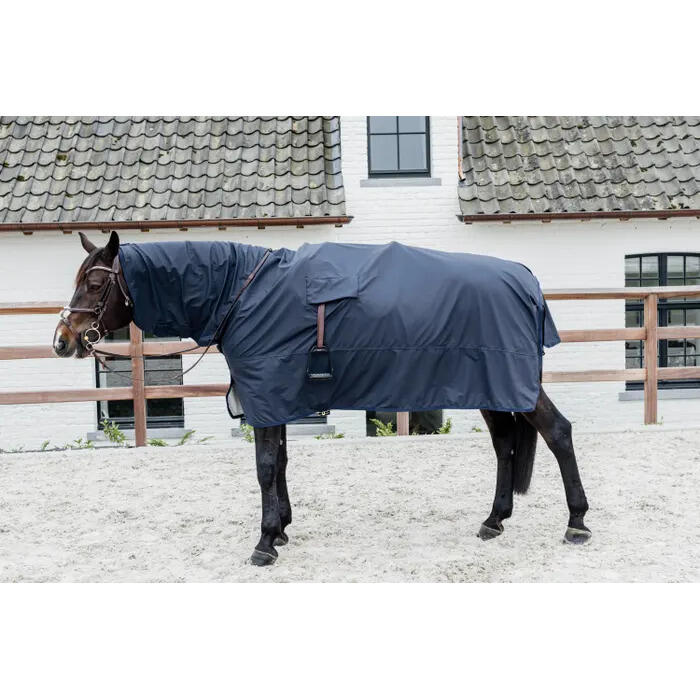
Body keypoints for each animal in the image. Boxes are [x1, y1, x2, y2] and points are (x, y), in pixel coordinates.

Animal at [53, 231, 591, 566]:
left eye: (95, 283)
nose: (62, 340)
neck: (241, 293)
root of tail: (526, 279)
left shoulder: (266, 394)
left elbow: (265, 467)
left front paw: (265, 541)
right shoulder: (275, 397)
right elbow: (281, 463)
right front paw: (282, 528)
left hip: (510, 385)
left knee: (557, 433)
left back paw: (577, 523)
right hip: (493, 389)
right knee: (505, 445)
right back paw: (494, 520)